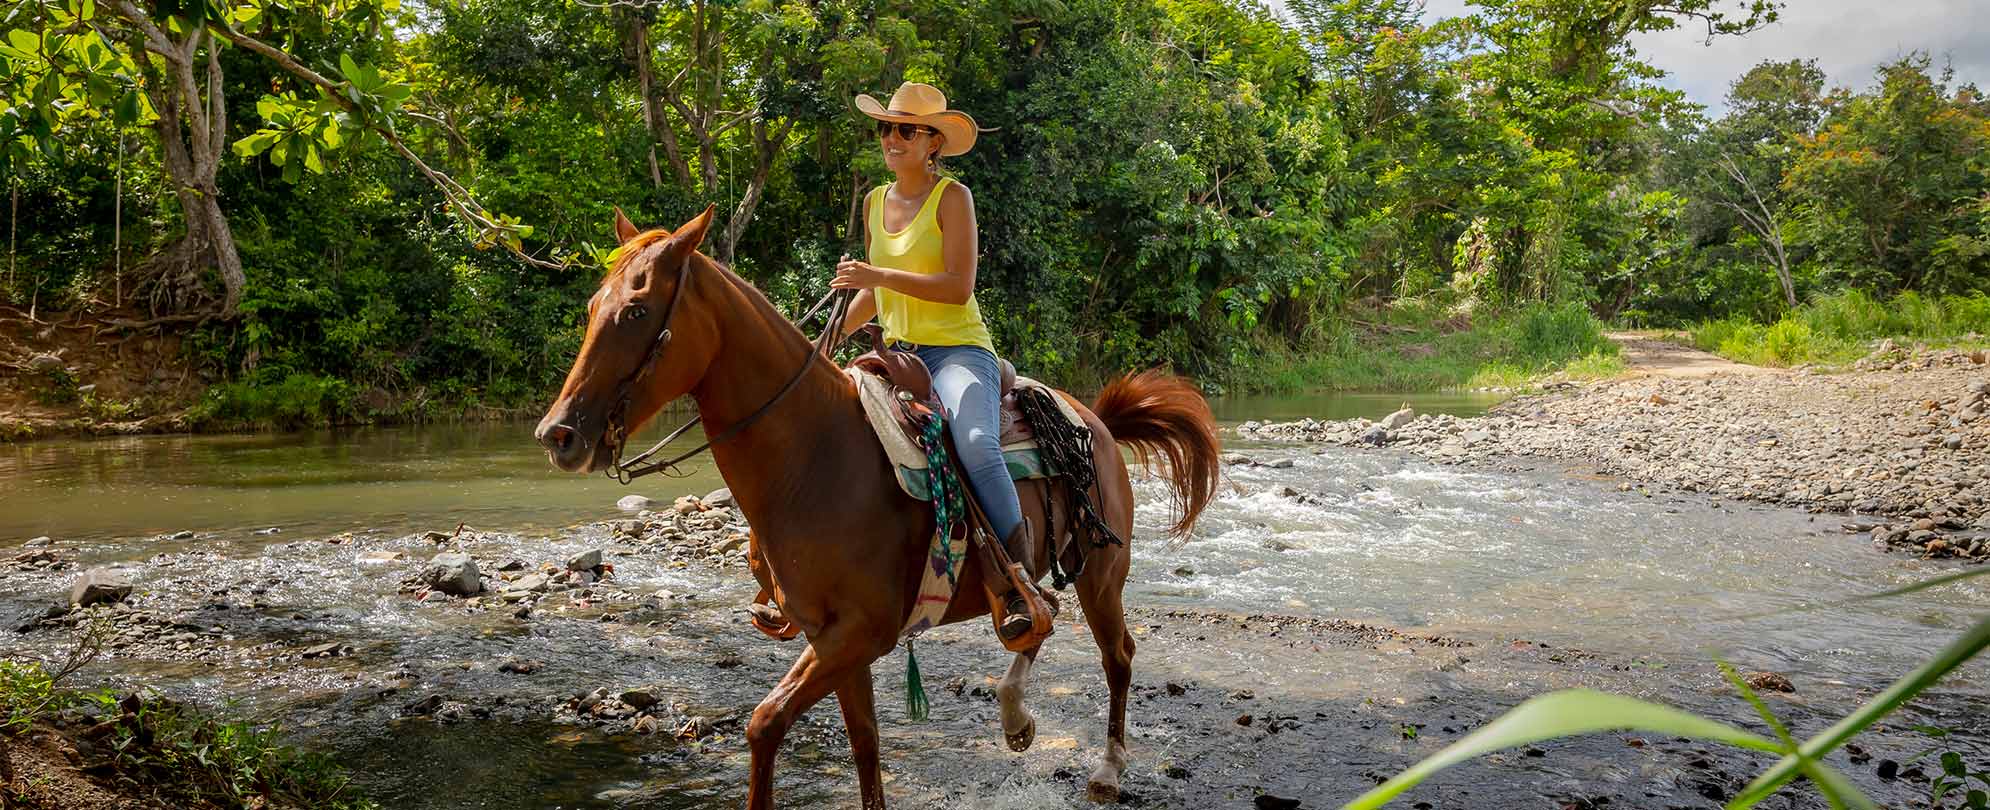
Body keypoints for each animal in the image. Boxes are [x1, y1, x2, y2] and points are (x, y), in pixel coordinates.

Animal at [533, 205, 1209, 808]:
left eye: (636, 310)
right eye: (592, 309)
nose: (557, 435)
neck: (815, 456)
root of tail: (1094, 420)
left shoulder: (862, 632)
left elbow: (764, 721)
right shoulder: (832, 638)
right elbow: (864, 745)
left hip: (1102, 572)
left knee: (1116, 655)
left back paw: (1107, 770)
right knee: (1038, 617)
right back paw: (1016, 715)